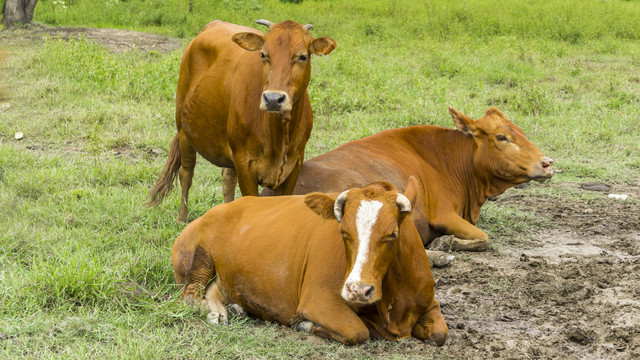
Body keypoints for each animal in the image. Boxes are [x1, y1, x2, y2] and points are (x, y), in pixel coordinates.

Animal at [148, 20, 338, 222]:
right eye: (263, 54)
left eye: (302, 56)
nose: (273, 99)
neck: (279, 134)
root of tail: (215, 23)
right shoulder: (244, 162)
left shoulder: (295, 164)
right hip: (183, 130)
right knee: (186, 173)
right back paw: (182, 219)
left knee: (227, 180)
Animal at [172, 178, 448, 346]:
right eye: (343, 232)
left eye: (392, 234)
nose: (358, 290)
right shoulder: (319, 300)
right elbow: (357, 332)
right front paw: (306, 325)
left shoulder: (428, 302)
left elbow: (440, 334)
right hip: (199, 259)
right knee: (190, 295)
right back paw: (216, 311)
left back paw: (230, 308)